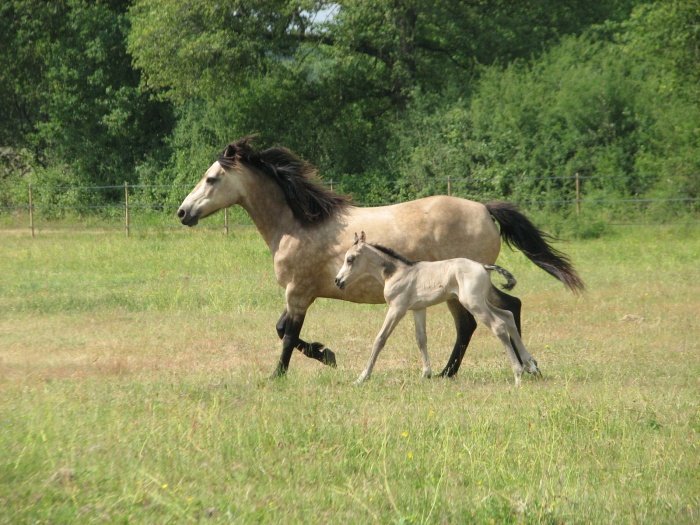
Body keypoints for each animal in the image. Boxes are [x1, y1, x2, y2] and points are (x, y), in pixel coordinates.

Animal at [334, 233, 540, 384]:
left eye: (350, 259)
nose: (337, 281)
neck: (397, 272)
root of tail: (483, 266)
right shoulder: (418, 309)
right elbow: (421, 339)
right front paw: (426, 373)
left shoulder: (397, 308)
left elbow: (380, 339)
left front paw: (362, 377)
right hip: (481, 301)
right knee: (508, 316)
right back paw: (531, 365)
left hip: (473, 303)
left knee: (499, 326)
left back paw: (518, 374)